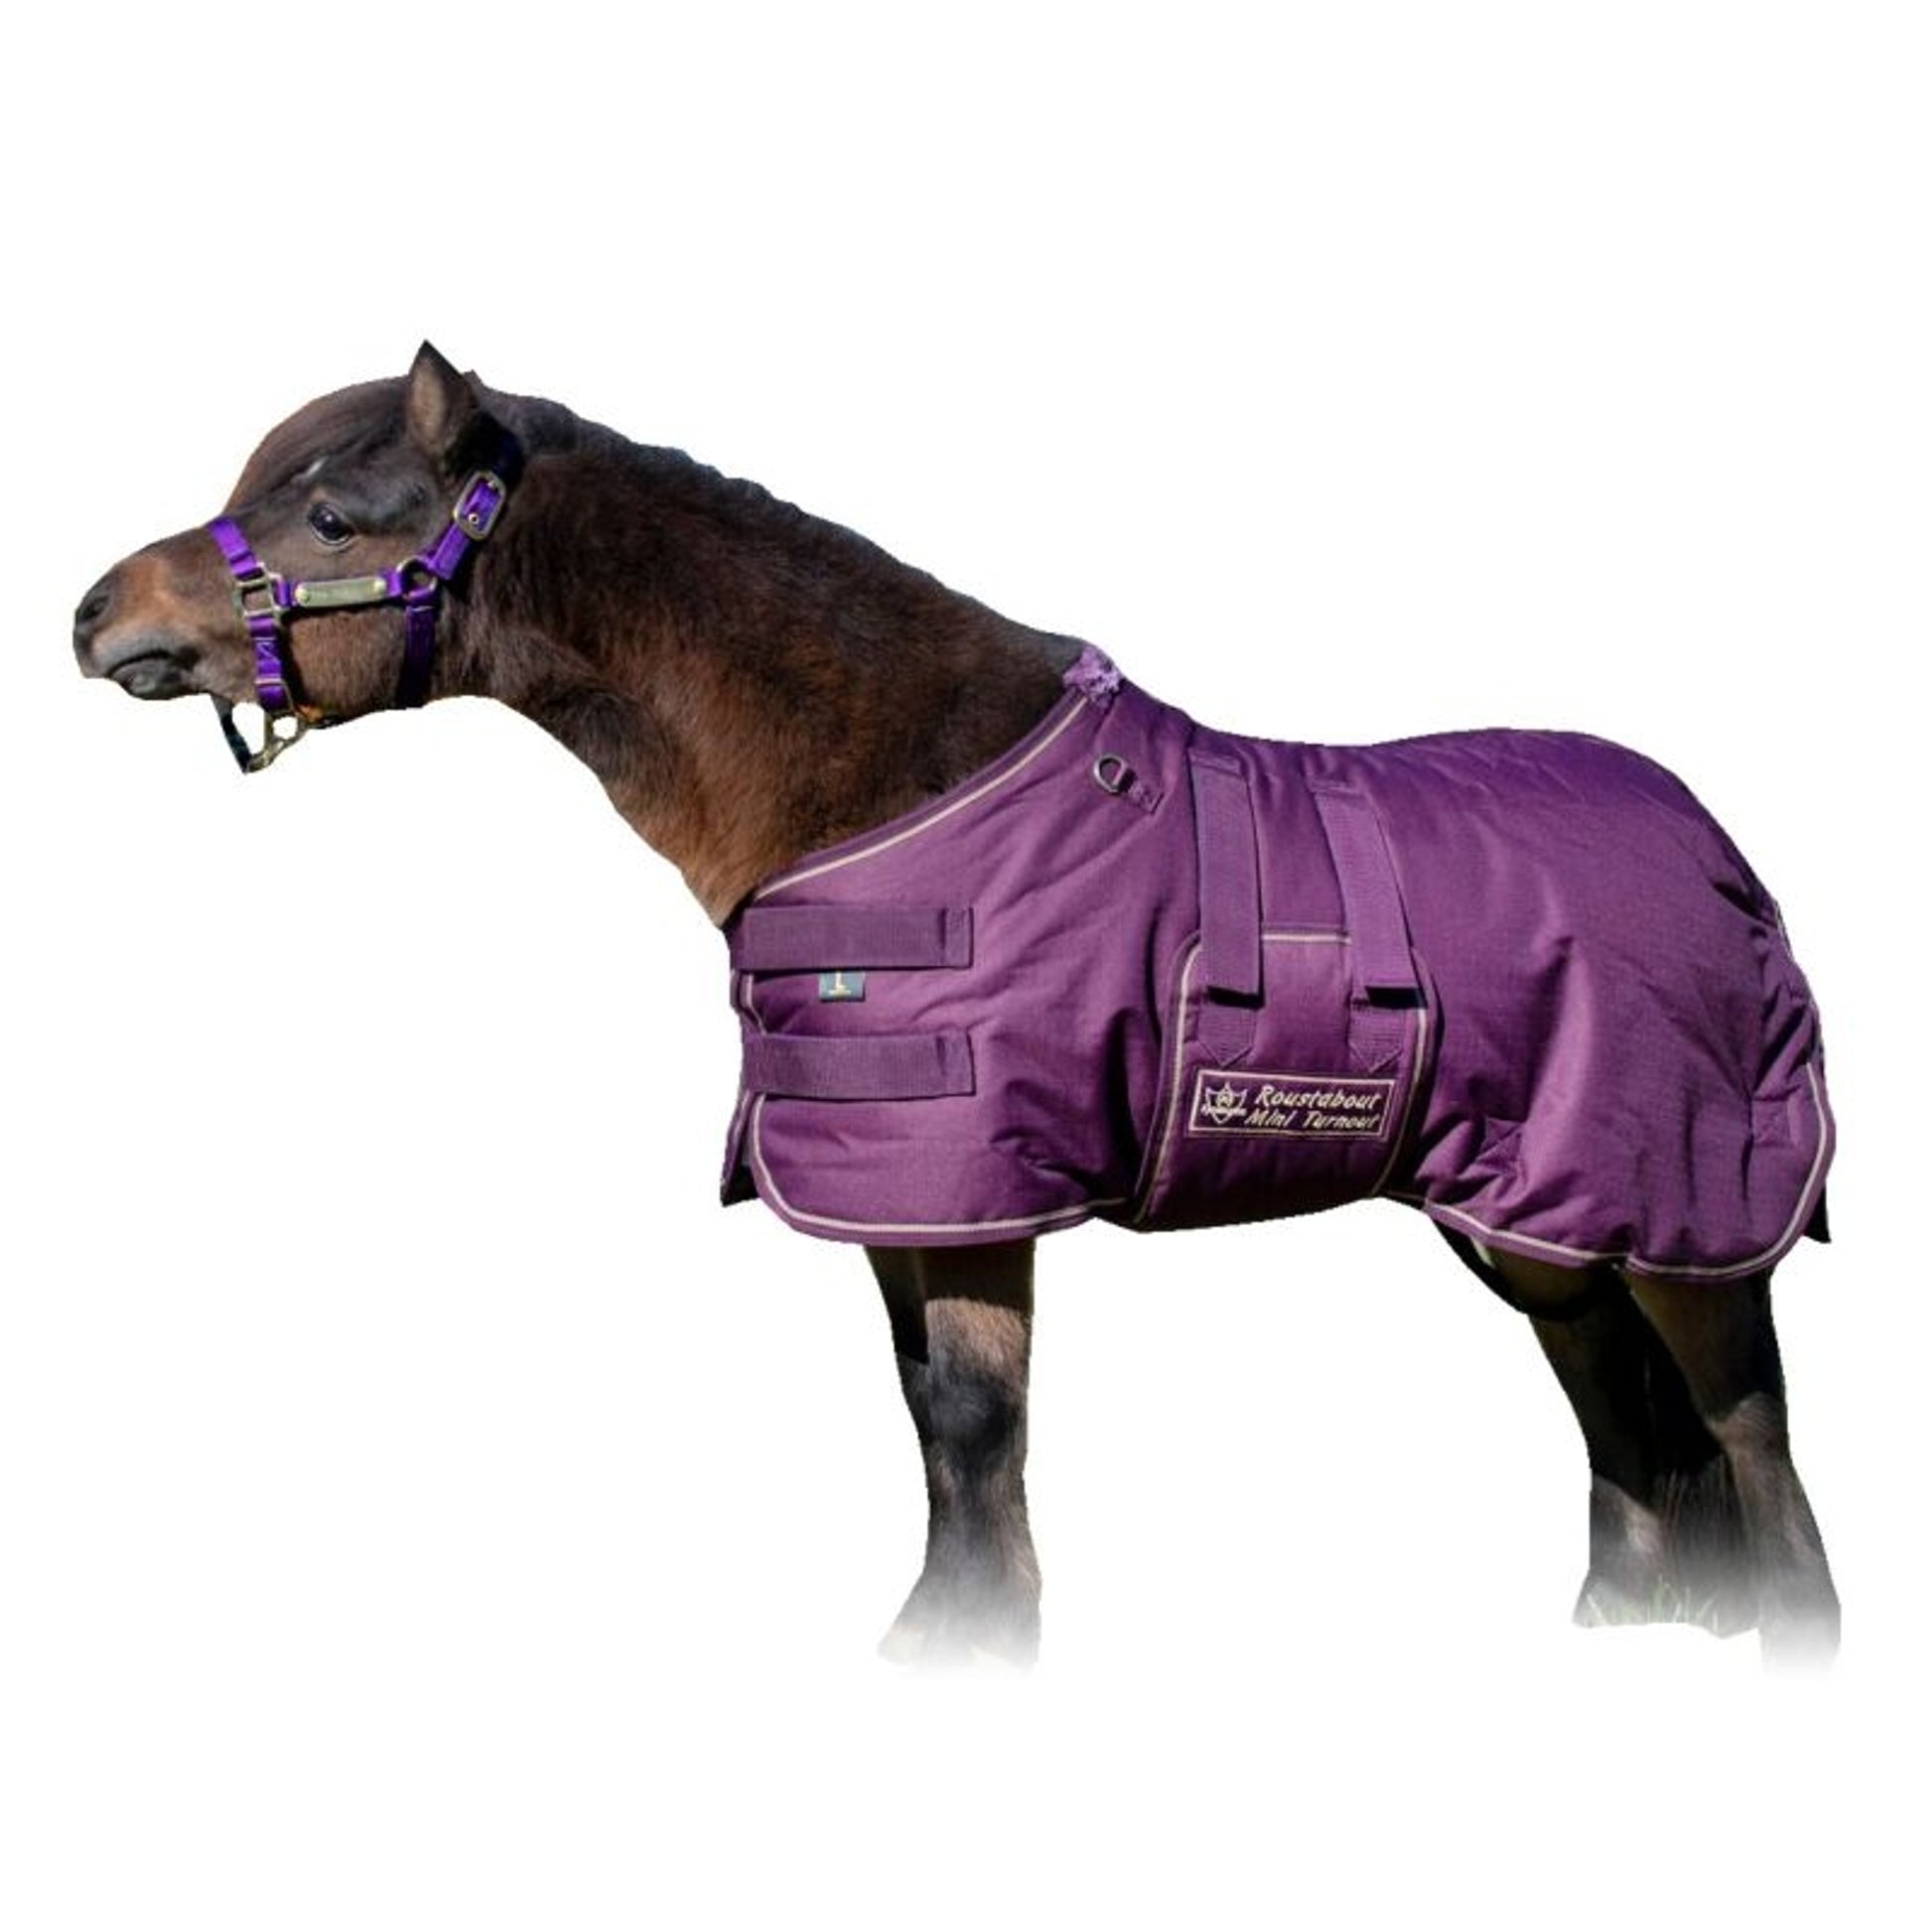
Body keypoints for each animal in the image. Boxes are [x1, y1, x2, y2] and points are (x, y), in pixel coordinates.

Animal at [73, 343, 1840, 1667]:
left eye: (325, 511)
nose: (97, 614)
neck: (888, 779)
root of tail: (1712, 849)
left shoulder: (979, 1181)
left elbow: (980, 1419)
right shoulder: (901, 1192)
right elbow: (933, 1419)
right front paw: (949, 1639)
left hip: (1682, 1204)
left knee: (1746, 1433)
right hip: (1531, 1218)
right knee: (1614, 1408)